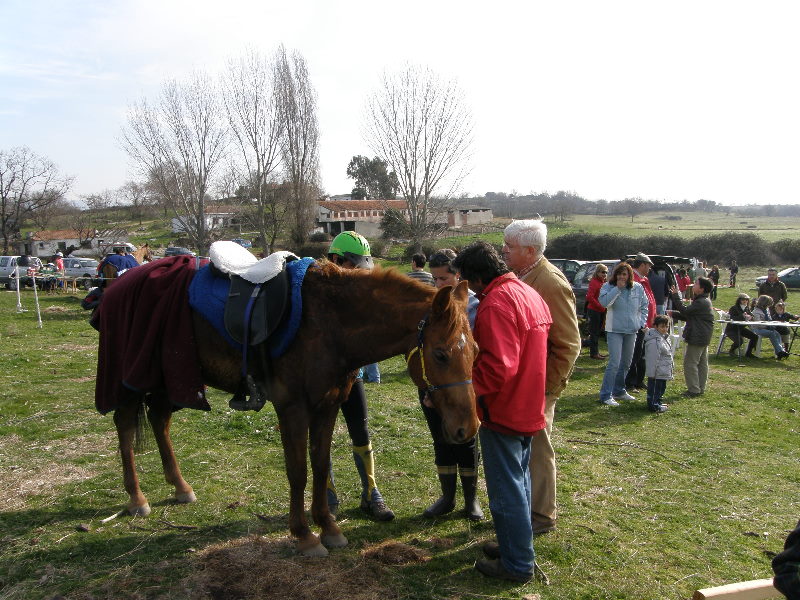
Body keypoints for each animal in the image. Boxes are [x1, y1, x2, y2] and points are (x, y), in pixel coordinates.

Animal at [106, 262, 482, 556]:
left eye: (475, 351)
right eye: (440, 354)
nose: (469, 426)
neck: (329, 322)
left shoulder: (327, 406)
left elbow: (320, 465)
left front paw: (328, 527)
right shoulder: (293, 409)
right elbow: (298, 470)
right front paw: (304, 535)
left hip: (166, 376)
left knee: (159, 421)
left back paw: (180, 486)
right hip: (132, 380)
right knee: (125, 426)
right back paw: (136, 498)